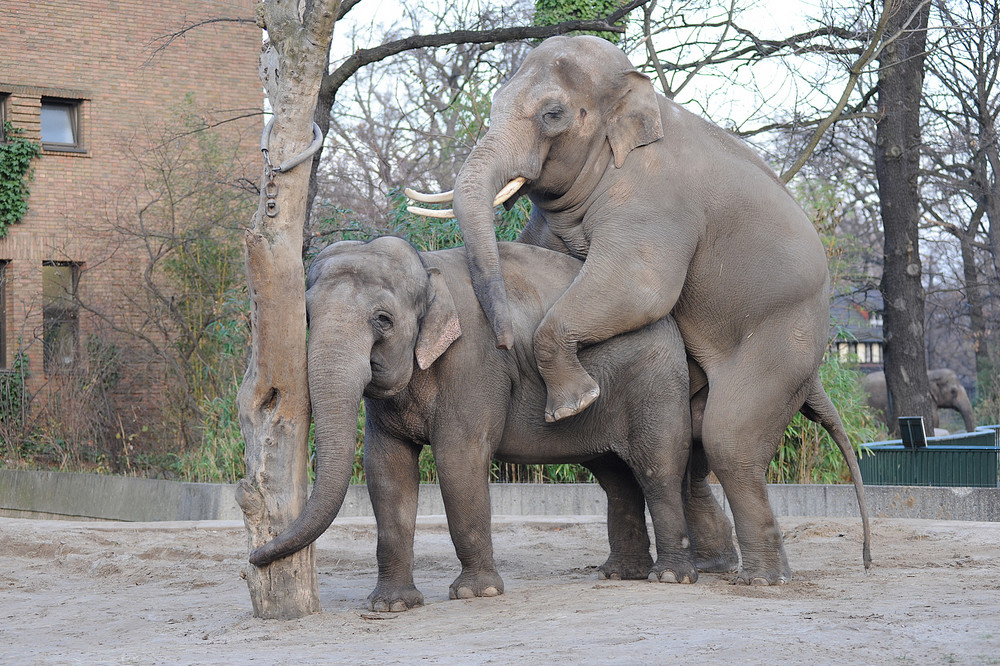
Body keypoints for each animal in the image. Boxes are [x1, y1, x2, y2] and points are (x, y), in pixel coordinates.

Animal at [249, 236, 704, 608]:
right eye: (307, 317)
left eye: (383, 319)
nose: (254, 558)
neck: (427, 265)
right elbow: (386, 471)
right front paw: (391, 605)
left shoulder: (474, 361)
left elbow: (458, 460)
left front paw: (475, 593)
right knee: (614, 477)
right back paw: (620, 574)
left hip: (656, 382)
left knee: (657, 469)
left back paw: (669, 577)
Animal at [410, 33, 872, 580]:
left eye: (552, 114)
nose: (503, 342)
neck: (636, 95)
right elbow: (540, 255)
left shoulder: (654, 197)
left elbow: (641, 285)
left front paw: (574, 404)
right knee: (695, 443)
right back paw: (714, 566)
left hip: (785, 335)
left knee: (729, 437)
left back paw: (760, 578)